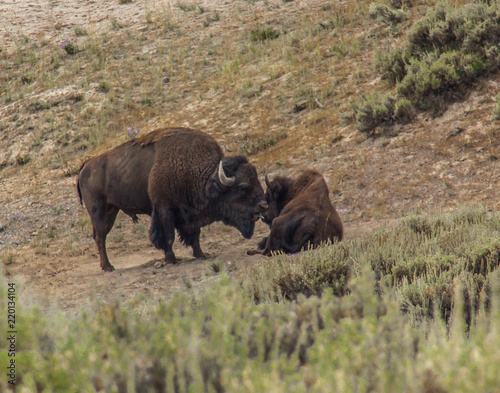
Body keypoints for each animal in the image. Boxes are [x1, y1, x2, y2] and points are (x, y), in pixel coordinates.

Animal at [76, 127, 268, 272]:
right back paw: (108, 267)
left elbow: (195, 235)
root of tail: (86, 165)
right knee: (100, 237)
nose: (263, 205)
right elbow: (168, 236)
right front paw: (171, 259)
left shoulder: (190, 214)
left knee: (100, 236)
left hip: (111, 210)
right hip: (99, 212)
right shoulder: (164, 210)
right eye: (243, 187)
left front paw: (201, 254)